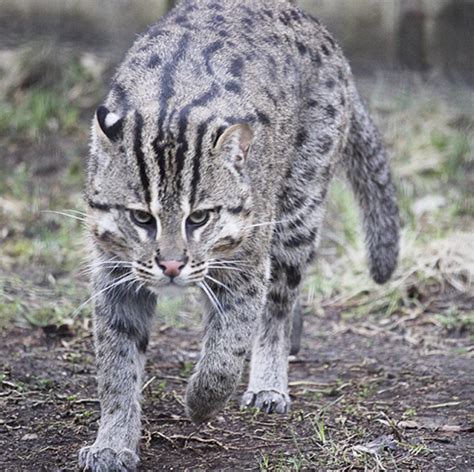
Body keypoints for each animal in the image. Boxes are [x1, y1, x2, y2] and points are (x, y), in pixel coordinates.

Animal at [79, 0, 398, 468]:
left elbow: (226, 352)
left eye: (200, 217)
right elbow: (116, 365)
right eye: (141, 217)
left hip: (297, 211)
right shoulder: (115, 274)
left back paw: (269, 382)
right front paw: (113, 443)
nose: (171, 264)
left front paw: (200, 402)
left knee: (278, 304)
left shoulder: (246, 265)